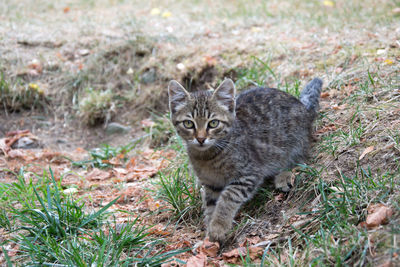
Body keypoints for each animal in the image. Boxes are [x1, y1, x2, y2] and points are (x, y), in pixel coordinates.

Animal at [168, 77, 322, 243]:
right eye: (188, 123)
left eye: (213, 123)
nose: (201, 139)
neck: (207, 157)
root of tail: (304, 108)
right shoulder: (211, 184)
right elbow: (210, 206)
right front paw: (209, 234)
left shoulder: (248, 174)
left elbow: (227, 198)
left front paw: (218, 226)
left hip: (294, 143)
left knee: (300, 160)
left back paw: (284, 176)